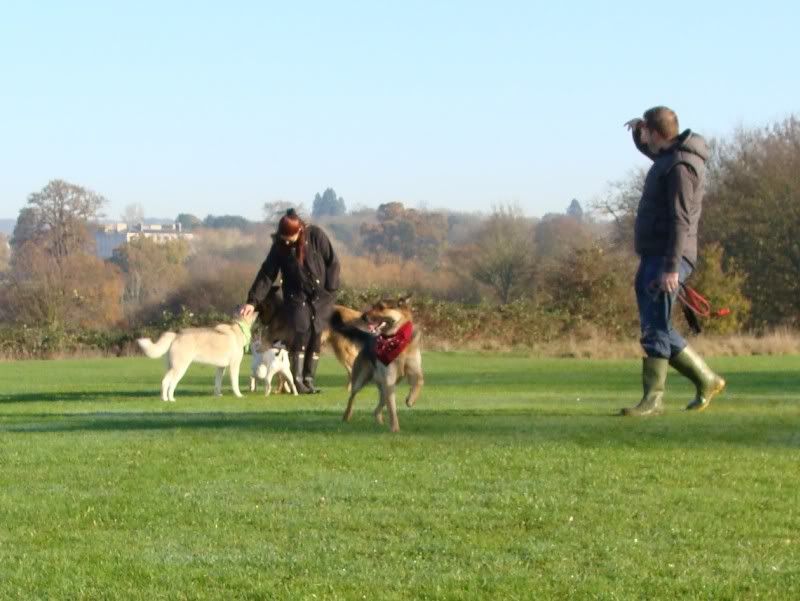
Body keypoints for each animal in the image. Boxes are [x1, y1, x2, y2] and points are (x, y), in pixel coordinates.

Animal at [328, 296, 422, 432]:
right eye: (373, 306)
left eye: (382, 307)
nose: (363, 316)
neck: (396, 338)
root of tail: (369, 338)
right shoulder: (389, 379)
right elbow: (392, 410)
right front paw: (395, 429)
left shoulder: (415, 371)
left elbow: (419, 382)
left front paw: (410, 400)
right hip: (361, 380)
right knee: (352, 397)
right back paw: (346, 416)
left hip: (385, 387)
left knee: (377, 409)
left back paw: (379, 422)